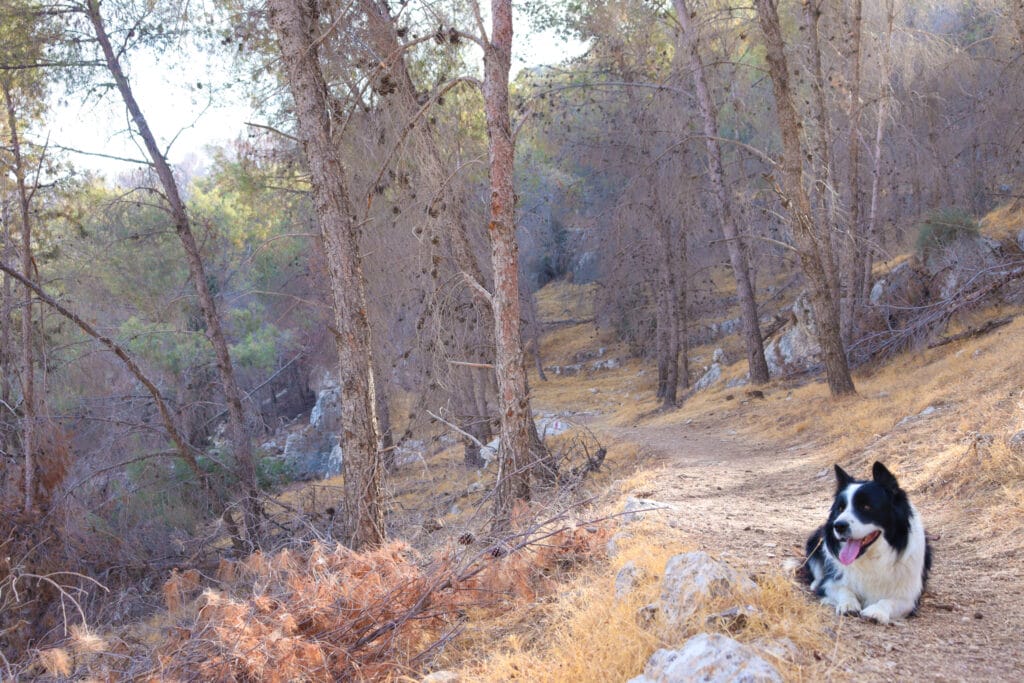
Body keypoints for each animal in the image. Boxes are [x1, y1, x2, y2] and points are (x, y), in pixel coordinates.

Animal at [802, 458, 933, 626]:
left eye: (866, 507)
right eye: (841, 508)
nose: (838, 526)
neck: (872, 558)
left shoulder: (909, 597)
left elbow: (889, 601)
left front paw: (876, 611)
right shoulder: (833, 582)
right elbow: (843, 589)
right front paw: (848, 604)